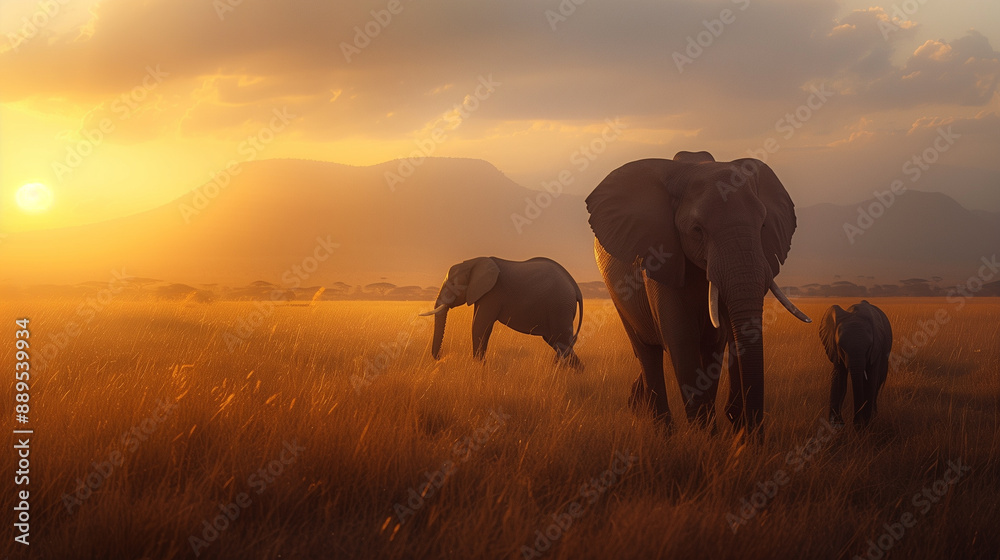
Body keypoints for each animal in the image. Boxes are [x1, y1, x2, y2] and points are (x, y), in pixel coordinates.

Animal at [418, 256, 584, 370]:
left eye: (453, 284)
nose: (440, 357)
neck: (473, 262)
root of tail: (575, 288)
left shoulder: (493, 293)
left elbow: (479, 325)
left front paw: (478, 365)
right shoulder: (482, 293)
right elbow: (482, 327)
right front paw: (481, 365)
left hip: (560, 306)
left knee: (561, 341)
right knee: (556, 341)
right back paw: (576, 372)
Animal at [584, 151, 812, 436]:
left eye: (762, 226)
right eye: (697, 230)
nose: (751, 433)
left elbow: (716, 342)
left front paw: (717, 432)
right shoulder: (661, 258)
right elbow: (682, 340)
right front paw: (702, 437)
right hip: (617, 295)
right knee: (648, 355)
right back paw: (664, 433)